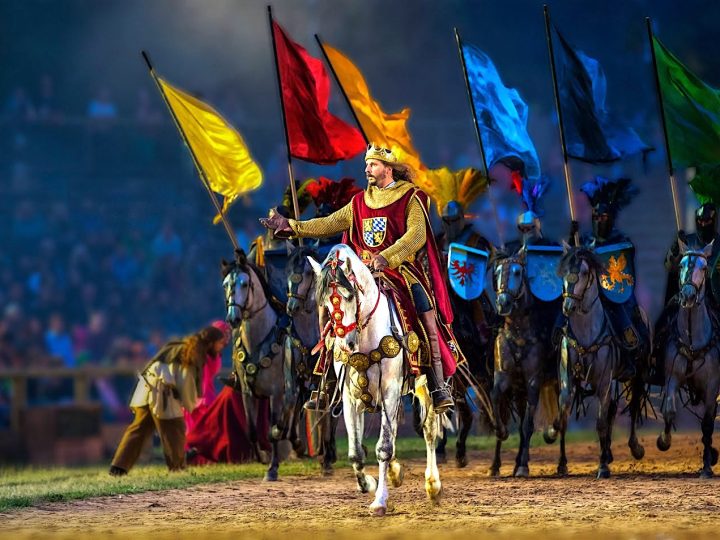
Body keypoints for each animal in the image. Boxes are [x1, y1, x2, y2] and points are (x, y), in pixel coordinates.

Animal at [308, 244, 442, 516]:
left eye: (349, 297)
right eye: (325, 302)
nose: (345, 345)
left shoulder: (390, 390)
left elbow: (383, 448)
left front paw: (380, 500)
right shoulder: (350, 398)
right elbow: (356, 452)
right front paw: (369, 483)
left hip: (423, 386)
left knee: (429, 430)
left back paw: (432, 485)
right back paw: (394, 473)